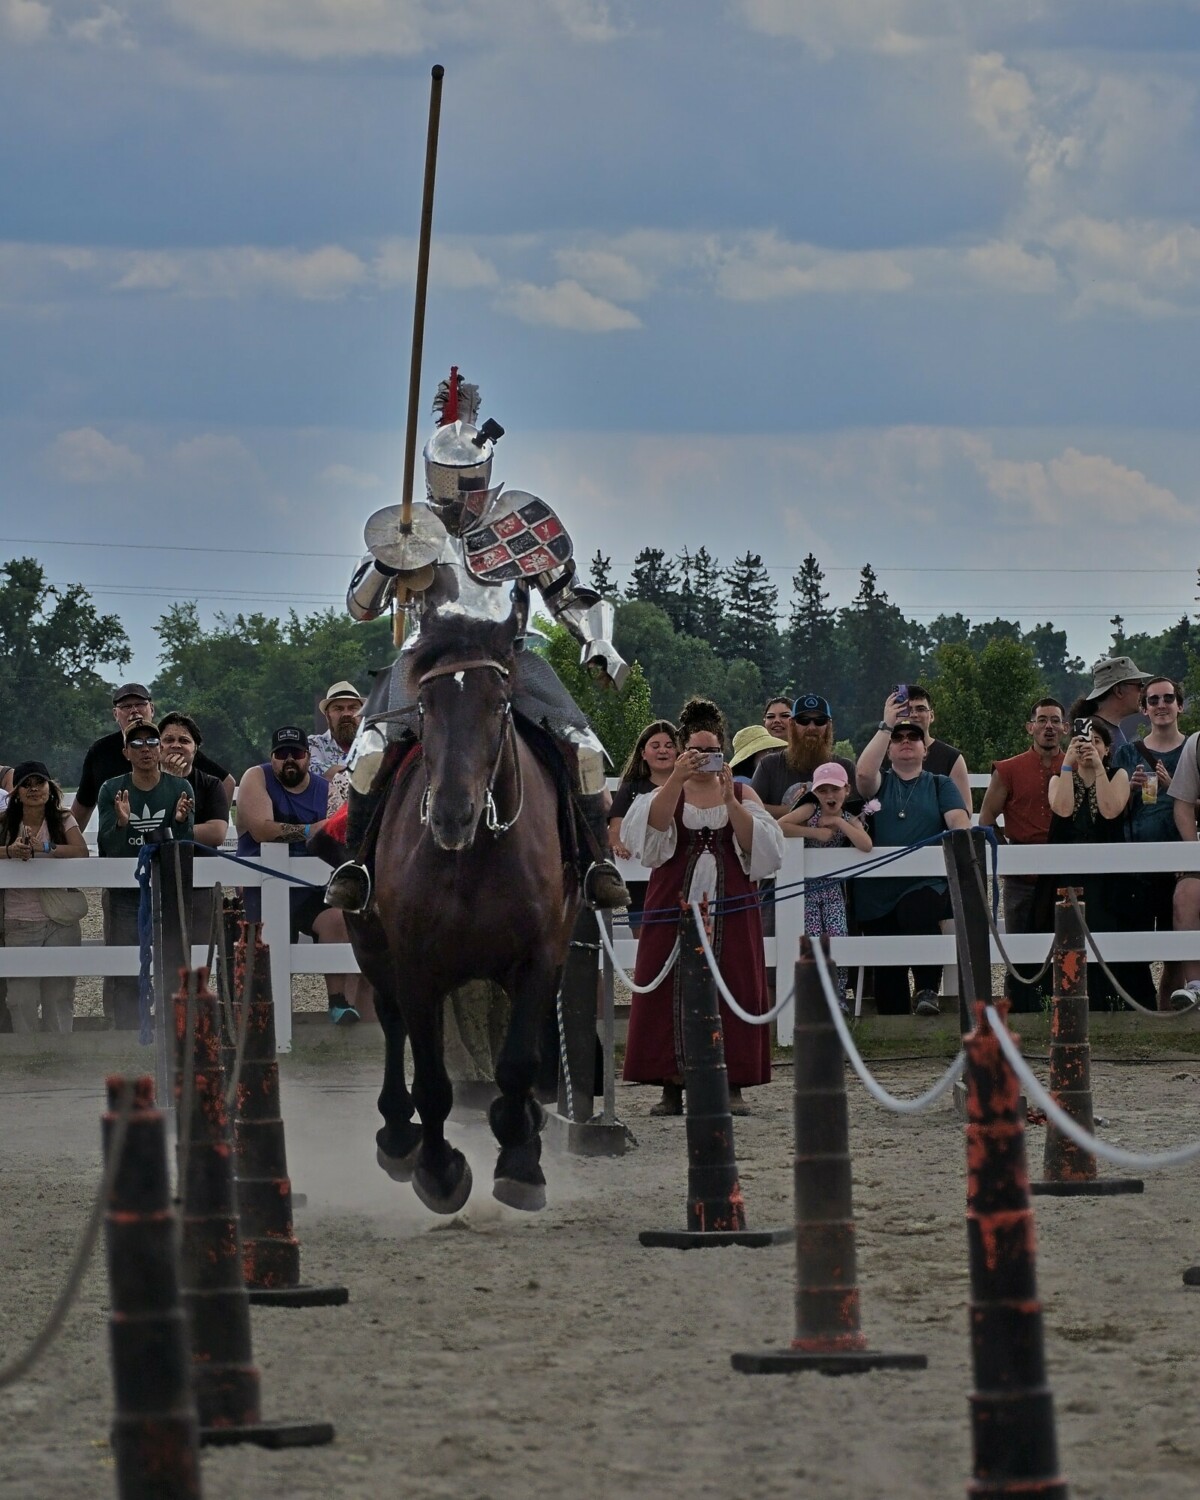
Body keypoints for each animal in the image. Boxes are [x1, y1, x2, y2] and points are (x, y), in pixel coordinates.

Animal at [345, 603, 579, 1212]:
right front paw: (438, 1169)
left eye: (498, 704)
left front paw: (520, 1160)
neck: (473, 860)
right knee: (392, 1023)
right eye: (426, 705)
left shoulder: (540, 957)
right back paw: (398, 1134)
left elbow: (517, 1062)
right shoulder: (416, 969)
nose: (453, 814)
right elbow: (430, 1080)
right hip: (374, 953)